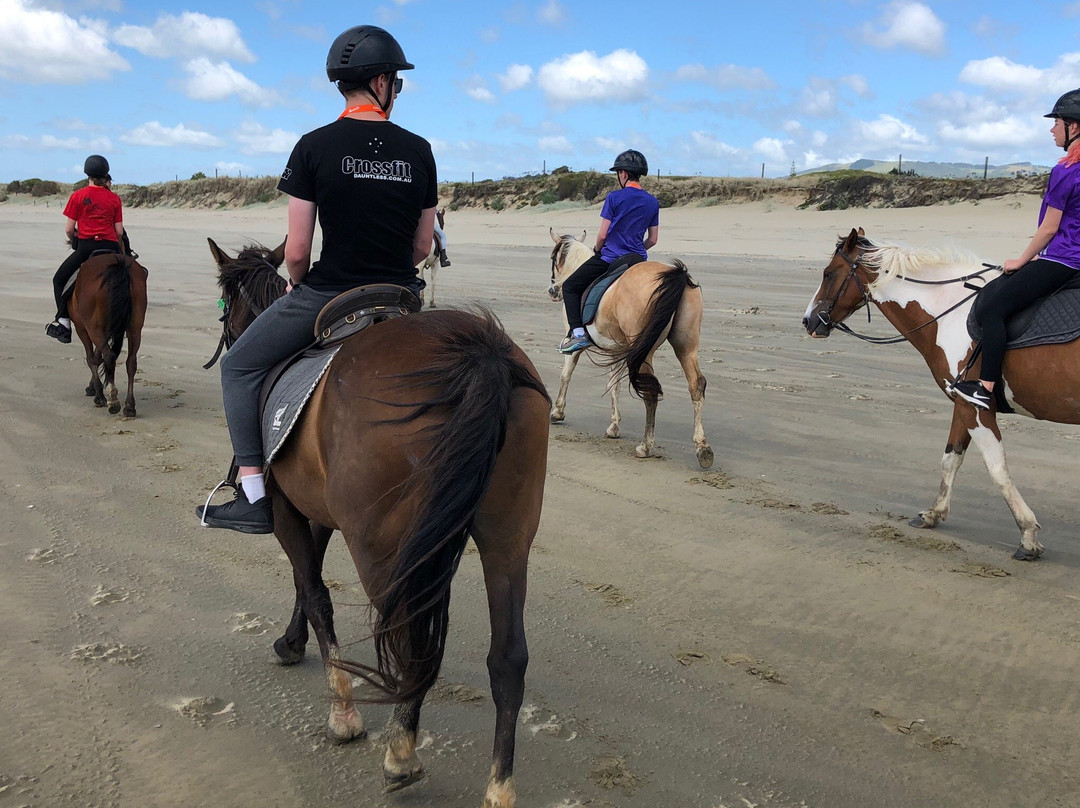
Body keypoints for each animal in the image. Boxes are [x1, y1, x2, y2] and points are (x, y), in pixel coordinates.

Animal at [69, 249, 147, 417]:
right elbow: (97, 357)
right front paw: (93, 386)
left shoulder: (81, 328)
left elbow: (92, 358)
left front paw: (98, 394)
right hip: (135, 327)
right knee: (131, 361)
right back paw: (129, 406)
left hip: (93, 327)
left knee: (108, 356)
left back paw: (112, 399)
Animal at [207, 238, 550, 808]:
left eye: (225, 307)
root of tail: (481, 353)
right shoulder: (316, 510)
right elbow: (305, 583)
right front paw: (291, 642)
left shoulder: (285, 510)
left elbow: (316, 593)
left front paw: (343, 714)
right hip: (508, 538)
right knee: (508, 658)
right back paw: (499, 787)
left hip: (380, 548)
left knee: (408, 640)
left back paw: (401, 754)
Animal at [547, 228, 713, 469]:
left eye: (553, 258)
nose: (553, 290)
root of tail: (675, 275)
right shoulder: (616, 349)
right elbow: (613, 384)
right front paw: (614, 426)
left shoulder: (575, 342)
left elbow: (565, 374)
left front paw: (557, 412)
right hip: (686, 346)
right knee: (696, 385)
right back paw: (702, 448)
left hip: (646, 350)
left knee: (650, 390)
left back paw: (646, 446)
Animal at [803, 227, 1080, 561]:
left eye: (828, 273)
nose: (808, 320)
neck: (950, 312)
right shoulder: (963, 403)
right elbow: (951, 459)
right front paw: (933, 513)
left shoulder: (976, 409)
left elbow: (997, 469)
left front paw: (1027, 536)